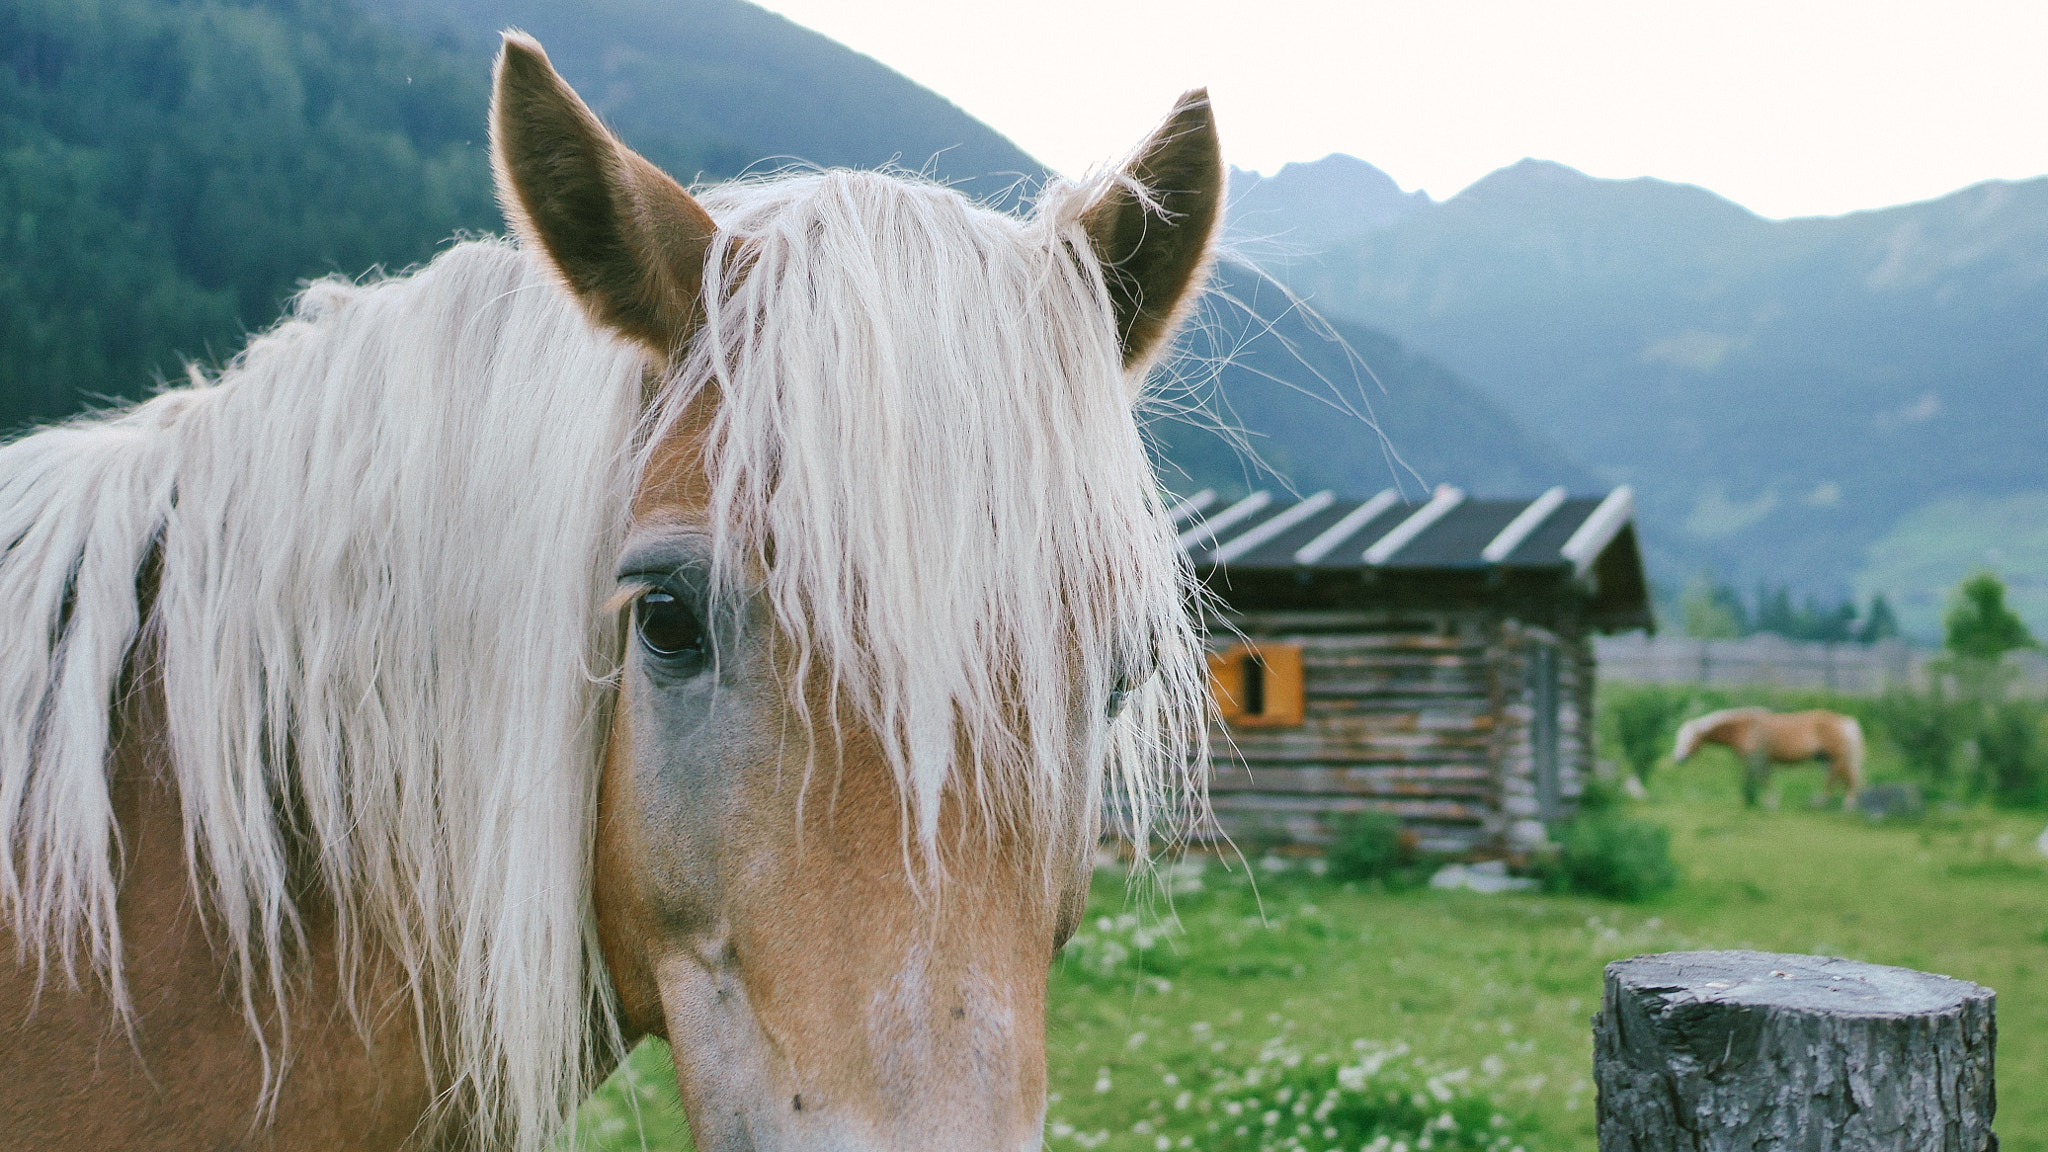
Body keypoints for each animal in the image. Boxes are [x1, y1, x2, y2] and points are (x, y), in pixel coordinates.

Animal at [1671, 705, 1867, 803]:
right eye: (1679, 738)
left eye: (1690, 739)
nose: (1678, 758)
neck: (1746, 727)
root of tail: (1844, 721)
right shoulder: (1756, 762)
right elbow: (1758, 780)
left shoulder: (1758, 761)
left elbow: (1763, 780)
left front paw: (1768, 802)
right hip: (1826, 760)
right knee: (1840, 779)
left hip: (1837, 759)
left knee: (1840, 779)